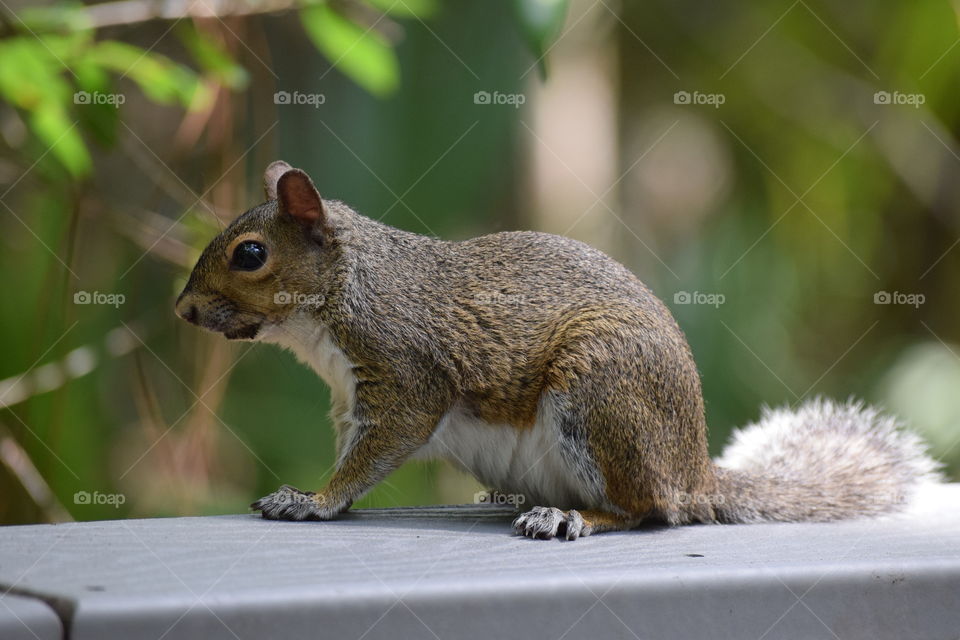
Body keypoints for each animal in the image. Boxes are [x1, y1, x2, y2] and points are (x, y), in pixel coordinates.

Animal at [176, 160, 940, 540]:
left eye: (250, 255)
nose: (182, 310)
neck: (342, 292)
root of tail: (694, 468)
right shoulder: (349, 395)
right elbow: (352, 447)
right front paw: (307, 491)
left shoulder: (405, 372)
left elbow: (375, 453)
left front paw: (314, 500)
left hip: (600, 394)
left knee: (647, 510)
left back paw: (570, 515)